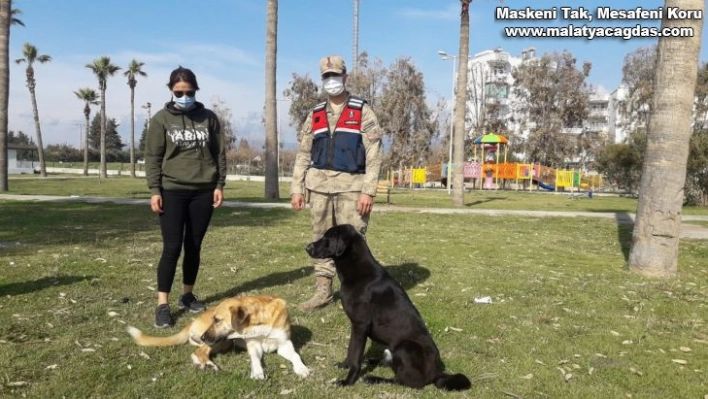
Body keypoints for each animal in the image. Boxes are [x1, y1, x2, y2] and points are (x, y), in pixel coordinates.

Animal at [127, 296, 310, 380]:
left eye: (218, 320)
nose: (202, 336)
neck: (260, 323)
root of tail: (192, 321)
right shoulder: (253, 347)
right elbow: (255, 359)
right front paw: (257, 372)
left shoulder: (285, 344)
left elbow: (295, 355)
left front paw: (301, 368)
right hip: (219, 340)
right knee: (198, 352)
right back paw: (208, 364)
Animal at [304, 223, 470, 392]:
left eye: (327, 237)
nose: (307, 247)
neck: (359, 272)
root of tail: (437, 372)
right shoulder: (355, 326)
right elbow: (351, 350)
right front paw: (344, 365)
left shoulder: (361, 325)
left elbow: (356, 357)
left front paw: (347, 382)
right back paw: (372, 361)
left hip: (404, 348)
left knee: (405, 382)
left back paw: (373, 378)